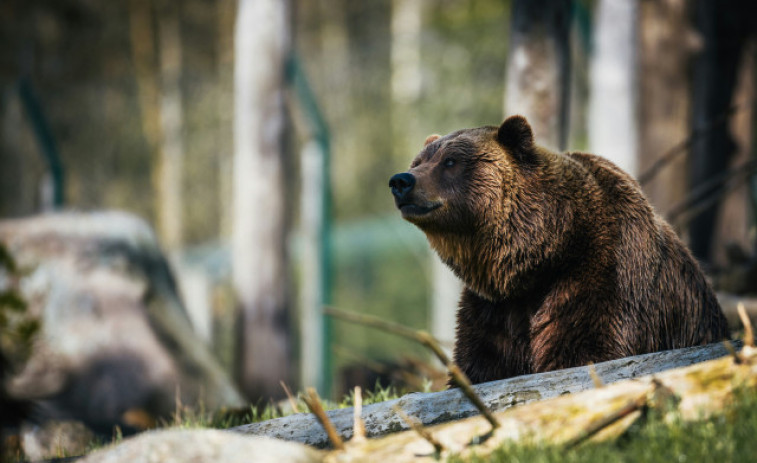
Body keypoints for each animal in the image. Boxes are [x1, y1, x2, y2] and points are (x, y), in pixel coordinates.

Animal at [390, 115, 728, 384]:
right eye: (418, 162)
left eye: (450, 161)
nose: (401, 180)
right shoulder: (494, 308)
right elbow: (482, 362)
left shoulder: (602, 272)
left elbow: (584, 348)